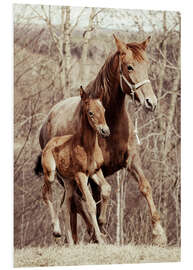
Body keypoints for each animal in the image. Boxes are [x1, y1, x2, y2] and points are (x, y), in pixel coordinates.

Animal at [41, 87, 111, 245]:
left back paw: (71, 242)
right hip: (51, 174)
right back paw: (56, 231)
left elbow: (106, 189)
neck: (87, 147)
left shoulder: (95, 171)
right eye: (90, 112)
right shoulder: (81, 175)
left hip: (68, 181)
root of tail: (49, 143)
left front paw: (102, 223)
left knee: (66, 205)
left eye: (104, 109)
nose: (105, 131)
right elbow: (91, 203)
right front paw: (99, 238)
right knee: (46, 193)